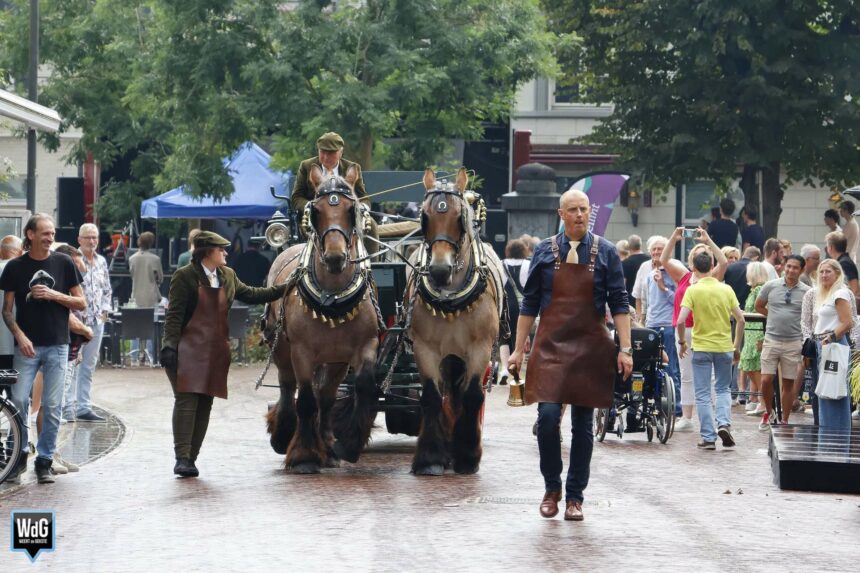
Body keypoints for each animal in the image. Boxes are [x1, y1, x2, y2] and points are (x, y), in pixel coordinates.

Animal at [266, 163, 380, 472]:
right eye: (315, 211)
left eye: (352, 209)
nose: (335, 257)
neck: (333, 296)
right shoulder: (302, 351)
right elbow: (305, 398)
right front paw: (303, 456)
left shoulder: (365, 345)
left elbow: (363, 386)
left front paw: (347, 445)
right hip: (282, 347)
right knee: (288, 386)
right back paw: (284, 434)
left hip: (335, 359)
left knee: (326, 395)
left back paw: (326, 445)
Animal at [408, 166, 504, 474]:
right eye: (425, 217)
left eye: (459, 217)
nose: (440, 270)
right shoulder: (425, 348)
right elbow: (431, 395)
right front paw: (430, 458)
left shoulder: (480, 348)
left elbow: (472, 395)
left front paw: (467, 455)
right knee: (448, 395)